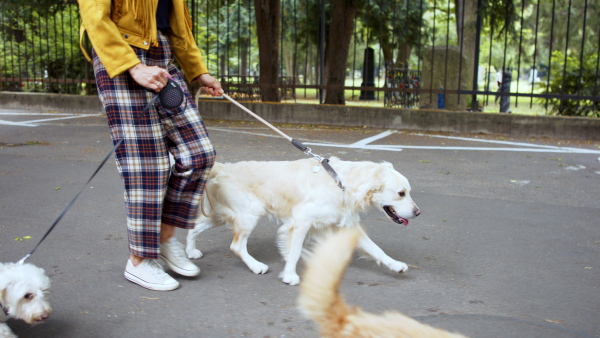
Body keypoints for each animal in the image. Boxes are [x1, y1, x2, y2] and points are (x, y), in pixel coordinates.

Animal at [185, 156, 420, 286]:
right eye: (401, 193)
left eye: (408, 191)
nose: (417, 212)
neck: (341, 182)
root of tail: (222, 167)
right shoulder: (301, 220)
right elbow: (295, 251)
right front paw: (290, 275)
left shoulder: (346, 225)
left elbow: (376, 249)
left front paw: (395, 265)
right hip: (250, 213)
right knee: (236, 246)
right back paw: (256, 266)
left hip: (221, 215)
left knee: (194, 227)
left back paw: (191, 252)